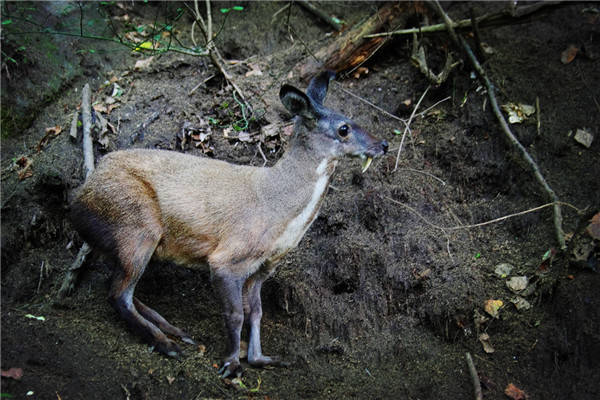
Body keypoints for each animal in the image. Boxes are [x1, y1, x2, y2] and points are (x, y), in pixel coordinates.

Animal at [70, 70, 390, 376]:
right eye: (344, 128)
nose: (384, 144)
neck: (278, 212)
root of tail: (78, 198)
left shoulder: (262, 268)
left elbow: (256, 313)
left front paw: (261, 359)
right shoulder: (228, 258)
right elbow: (235, 314)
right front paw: (231, 364)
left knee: (119, 287)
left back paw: (176, 332)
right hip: (137, 225)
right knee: (118, 294)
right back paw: (167, 345)